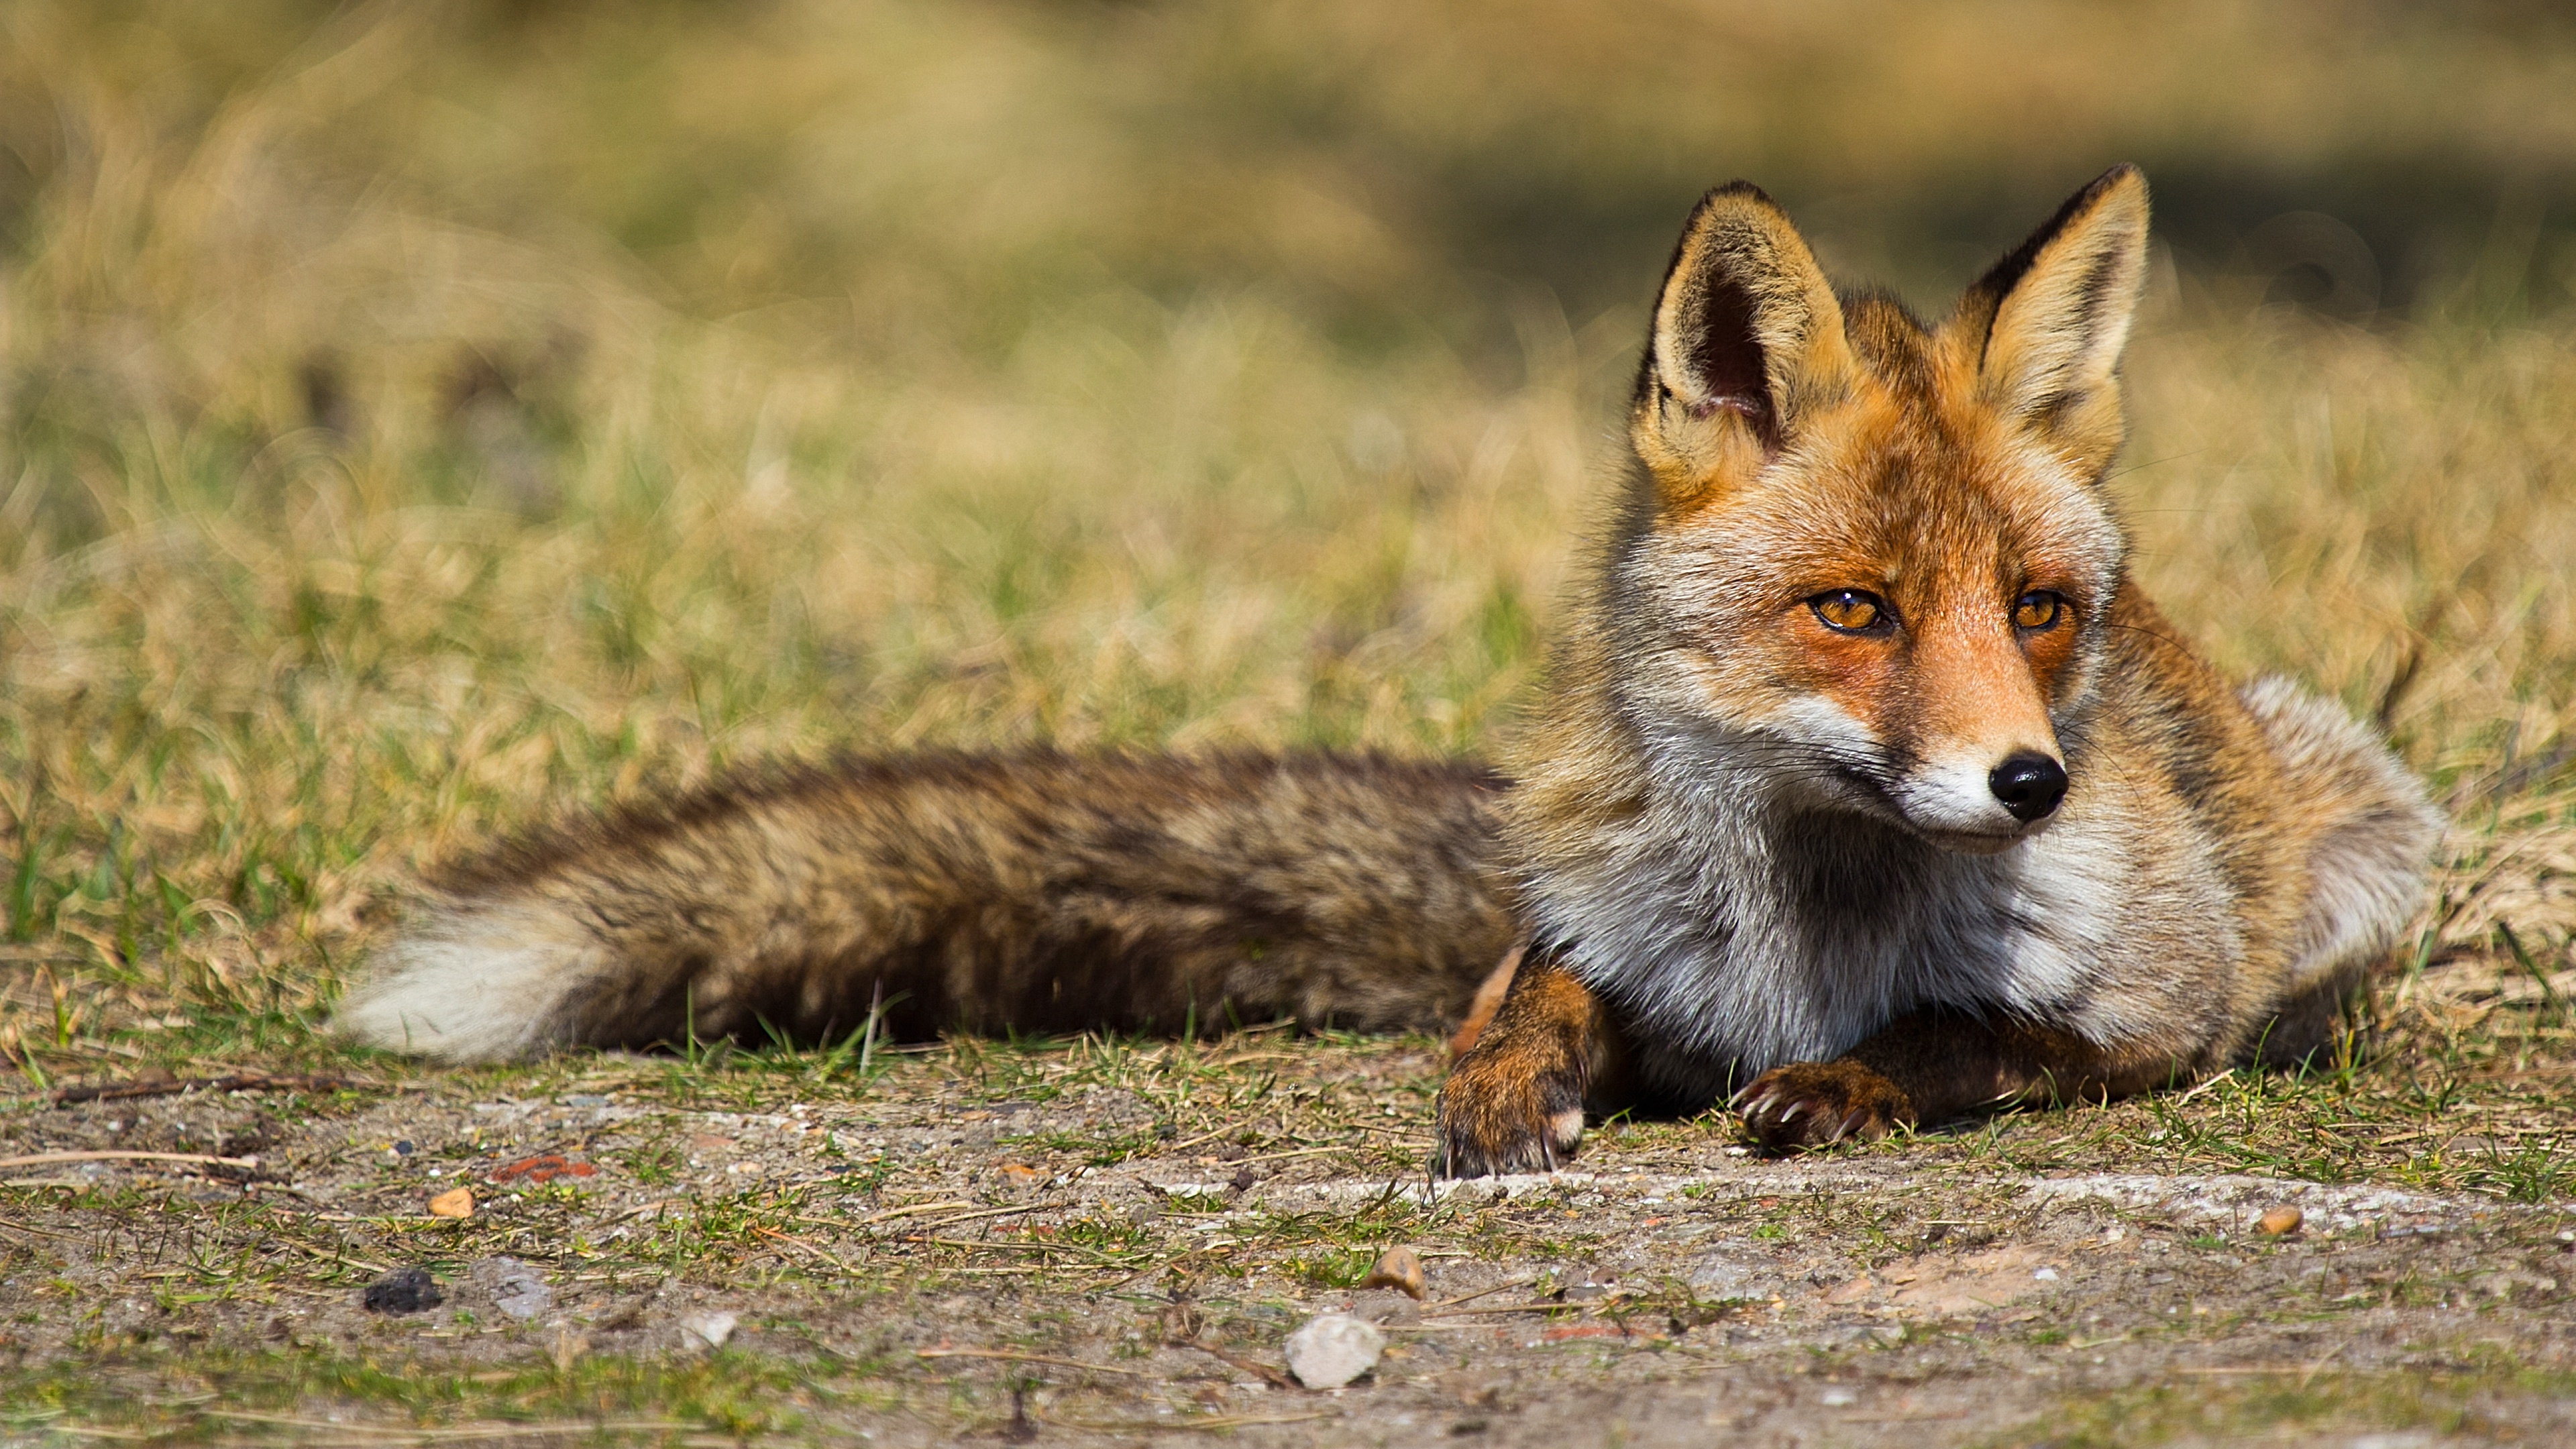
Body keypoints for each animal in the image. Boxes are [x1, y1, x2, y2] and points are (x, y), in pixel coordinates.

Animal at [339, 165, 2441, 1177]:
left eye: (2038, 610)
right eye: (1851, 611)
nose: (2029, 785)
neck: (1802, 937)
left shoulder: (2157, 1015)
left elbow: (1969, 1039)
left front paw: (1846, 1083)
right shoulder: (1597, 929)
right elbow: (1526, 989)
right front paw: (1503, 1086)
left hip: (2374, 826)